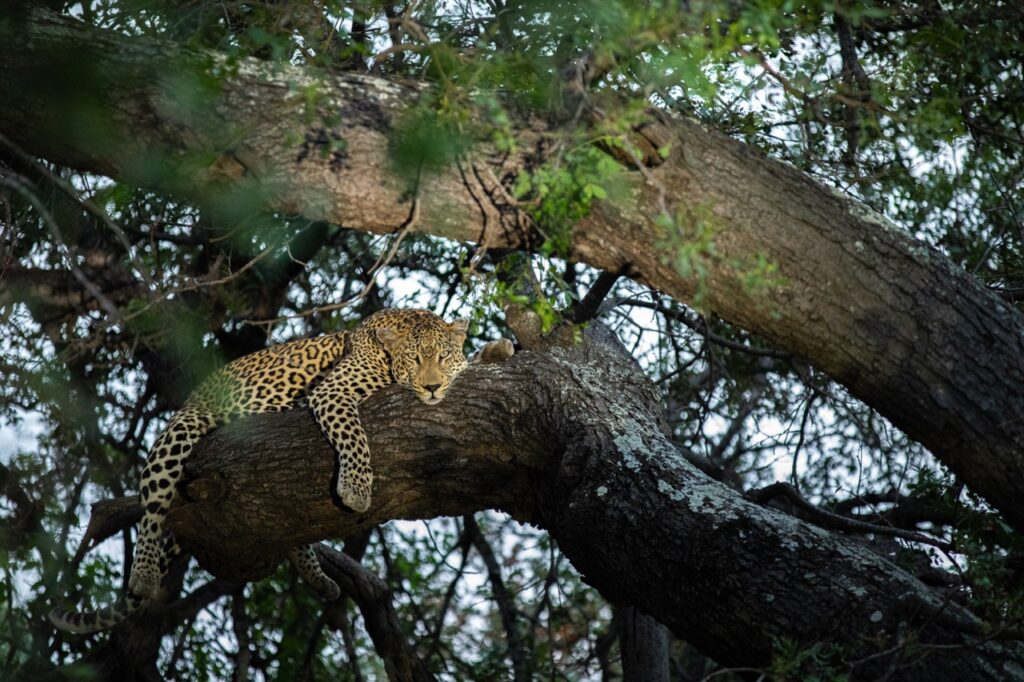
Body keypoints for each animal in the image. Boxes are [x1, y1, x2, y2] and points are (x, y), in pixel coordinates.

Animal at [50, 308, 513, 634]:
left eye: (443, 357)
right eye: (416, 359)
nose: (432, 387)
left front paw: (496, 350)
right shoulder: (332, 391)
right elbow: (354, 435)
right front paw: (356, 486)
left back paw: (319, 578)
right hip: (182, 430)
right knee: (152, 502)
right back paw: (144, 572)